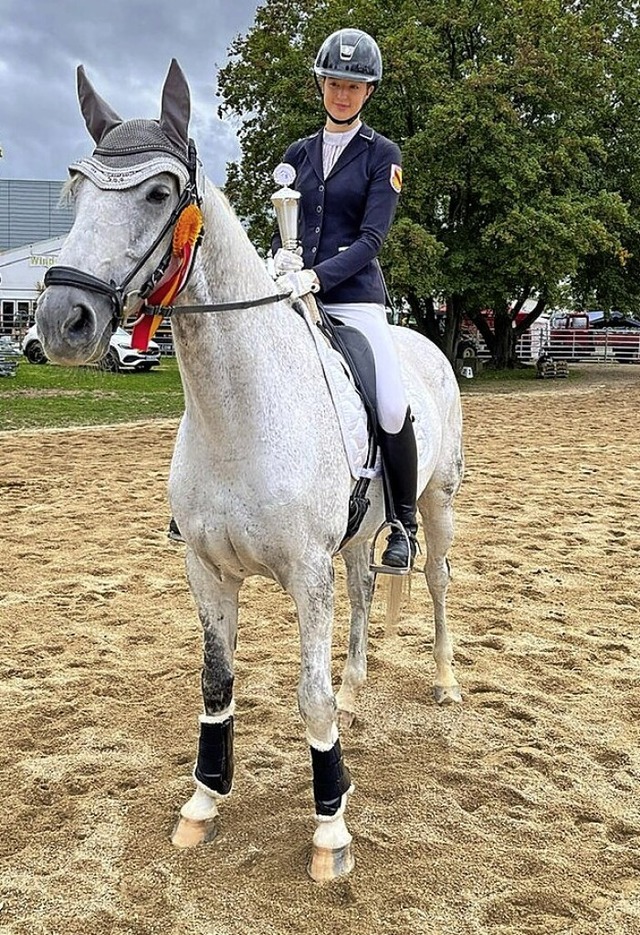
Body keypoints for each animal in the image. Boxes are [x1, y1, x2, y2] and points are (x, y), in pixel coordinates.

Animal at [35, 60, 462, 884]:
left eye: (158, 193)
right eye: (77, 188)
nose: (61, 322)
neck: (240, 412)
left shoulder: (305, 573)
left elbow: (308, 697)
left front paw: (331, 828)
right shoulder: (207, 570)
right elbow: (216, 682)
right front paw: (203, 800)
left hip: (436, 503)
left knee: (432, 580)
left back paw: (445, 680)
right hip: (357, 535)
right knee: (366, 589)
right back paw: (359, 687)